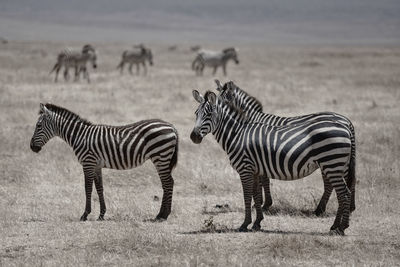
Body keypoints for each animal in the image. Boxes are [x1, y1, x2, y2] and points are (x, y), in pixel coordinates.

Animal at [29, 103, 177, 221]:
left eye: (38, 125)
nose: (32, 147)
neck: (80, 136)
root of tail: (171, 126)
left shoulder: (88, 162)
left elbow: (88, 188)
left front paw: (85, 214)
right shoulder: (96, 165)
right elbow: (99, 188)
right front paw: (101, 214)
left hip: (160, 156)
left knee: (168, 182)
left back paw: (163, 215)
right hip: (162, 157)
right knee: (167, 183)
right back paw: (162, 214)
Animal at [191, 90, 354, 234]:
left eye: (208, 114)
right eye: (196, 113)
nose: (194, 136)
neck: (237, 134)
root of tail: (345, 125)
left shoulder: (245, 168)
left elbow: (247, 195)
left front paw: (245, 224)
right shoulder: (255, 170)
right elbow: (256, 195)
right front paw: (257, 223)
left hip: (332, 163)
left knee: (344, 194)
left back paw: (341, 228)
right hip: (338, 165)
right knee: (343, 192)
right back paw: (335, 226)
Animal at [214, 79, 358, 216]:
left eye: (223, 100)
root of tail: (347, 121)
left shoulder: (260, 153)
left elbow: (263, 180)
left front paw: (263, 204)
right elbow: (263, 178)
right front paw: (262, 203)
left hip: (330, 157)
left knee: (332, 183)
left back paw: (322, 210)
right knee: (347, 180)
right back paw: (348, 208)